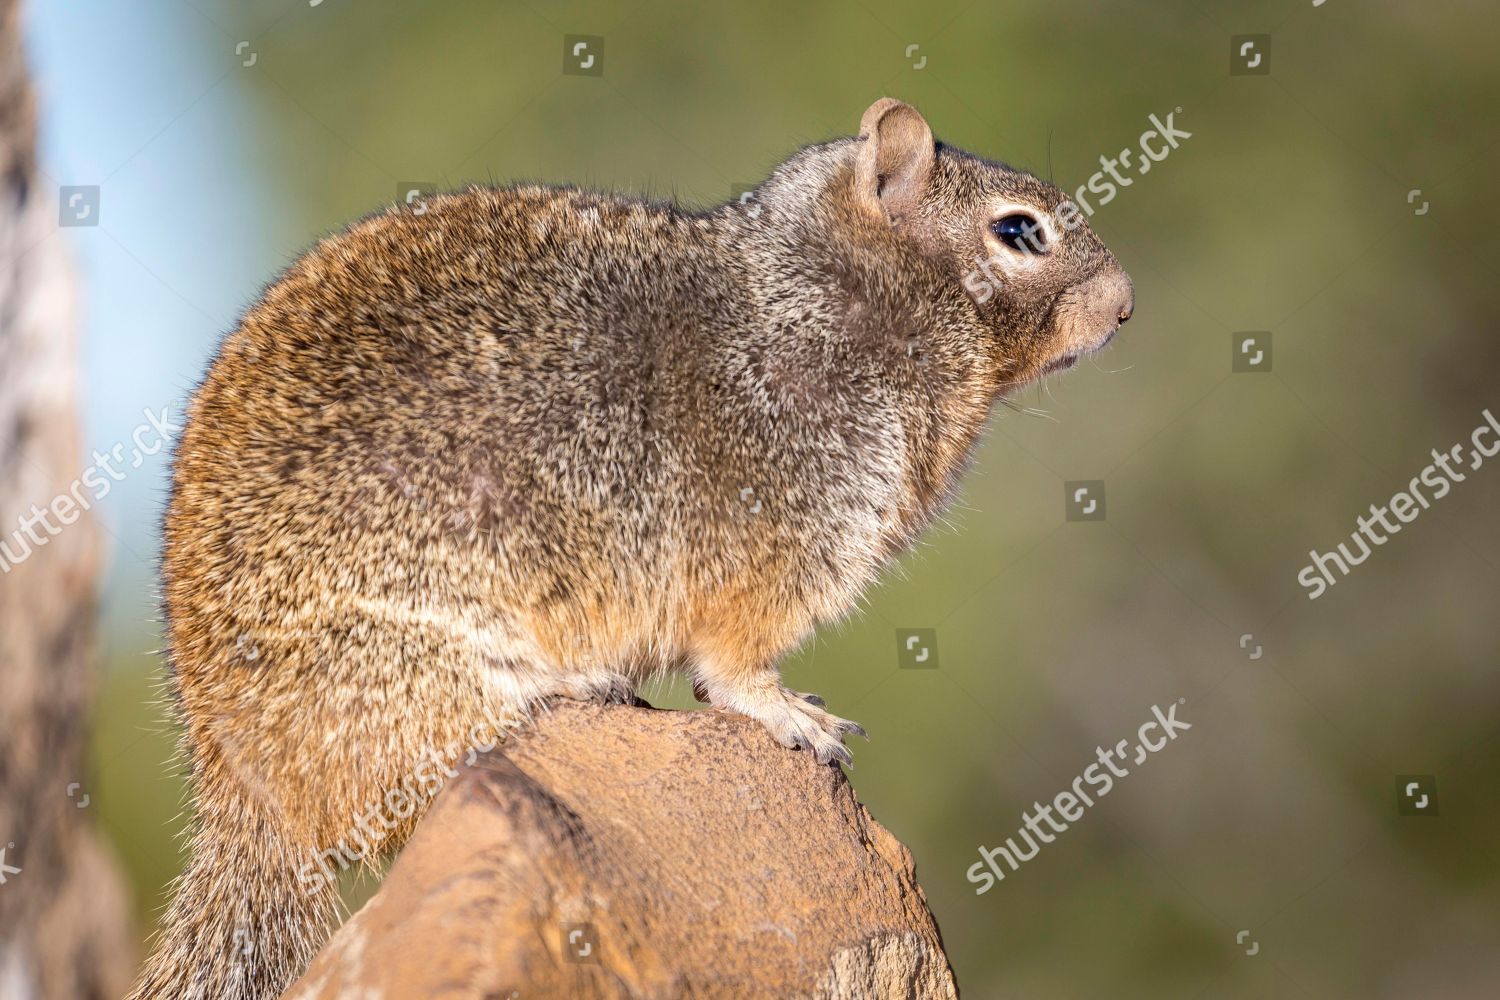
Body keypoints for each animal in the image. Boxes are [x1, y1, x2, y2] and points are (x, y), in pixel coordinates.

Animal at [132, 99, 1134, 1000]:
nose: (1126, 308)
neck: (832, 296)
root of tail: (233, 784)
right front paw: (791, 713)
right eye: (1019, 230)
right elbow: (733, 662)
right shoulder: (785, 527)